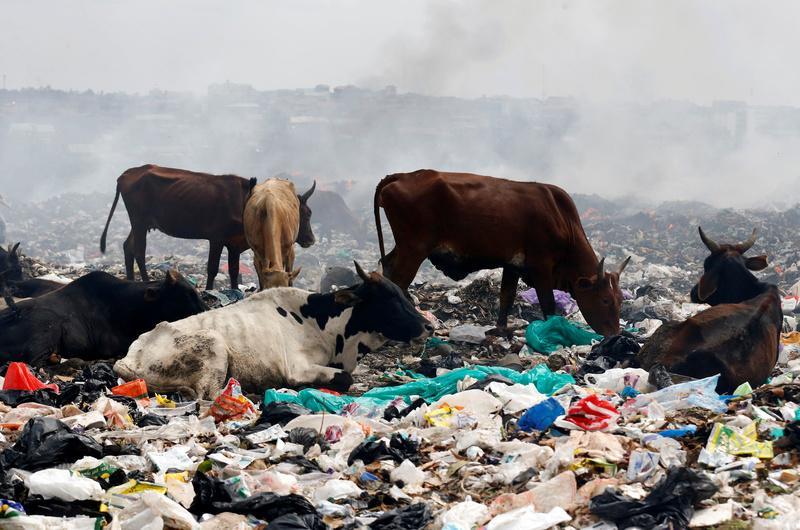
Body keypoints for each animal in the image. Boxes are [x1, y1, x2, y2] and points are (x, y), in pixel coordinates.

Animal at [100, 164, 255, 288]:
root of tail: (126, 174)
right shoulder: (216, 238)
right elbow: (212, 268)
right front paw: (209, 290)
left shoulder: (234, 243)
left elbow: (234, 271)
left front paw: (235, 291)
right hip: (139, 221)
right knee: (139, 251)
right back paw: (145, 281)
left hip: (141, 223)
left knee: (128, 246)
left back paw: (131, 281)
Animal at [372, 169, 628, 334]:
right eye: (605, 299)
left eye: (620, 299)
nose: (614, 334)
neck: (561, 219)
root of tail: (403, 175)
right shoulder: (541, 266)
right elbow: (548, 304)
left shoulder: (512, 265)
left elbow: (507, 297)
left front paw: (501, 330)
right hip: (414, 248)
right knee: (399, 281)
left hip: (405, 247)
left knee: (387, 266)